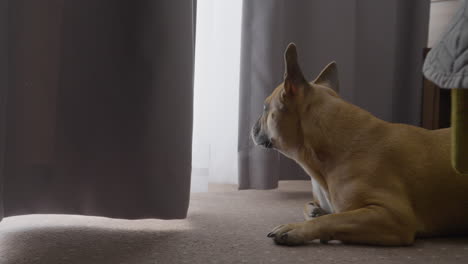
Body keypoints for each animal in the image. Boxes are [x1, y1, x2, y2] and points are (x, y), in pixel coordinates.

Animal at [250, 42, 468, 245]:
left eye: (264, 108)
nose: (252, 125)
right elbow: (311, 207)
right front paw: (315, 212)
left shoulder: (394, 216)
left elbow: (334, 219)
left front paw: (296, 228)